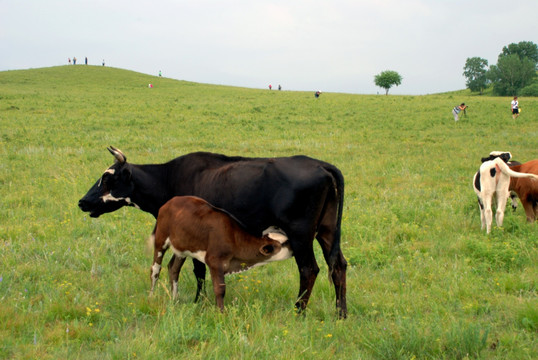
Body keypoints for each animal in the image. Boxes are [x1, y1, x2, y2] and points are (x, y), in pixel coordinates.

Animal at [148, 195, 294, 310]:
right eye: (285, 243)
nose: (295, 248)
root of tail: (171, 201)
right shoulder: (214, 261)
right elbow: (220, 289)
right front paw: (221, 313)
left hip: (182, 248)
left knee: (173, 268)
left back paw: (175, 299)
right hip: (161, 239)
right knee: (155, 269)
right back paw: (151, 296)